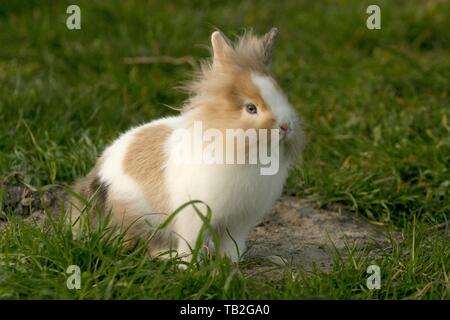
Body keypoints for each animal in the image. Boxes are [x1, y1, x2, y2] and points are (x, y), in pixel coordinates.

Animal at [68, 27, 304, 262]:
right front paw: (189, 265)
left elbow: (232, 243)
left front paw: (231, 262)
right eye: (251, 108)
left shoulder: (239, 221)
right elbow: (191, 241)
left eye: (282, 95)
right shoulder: (193, 215)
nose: (286, 126)